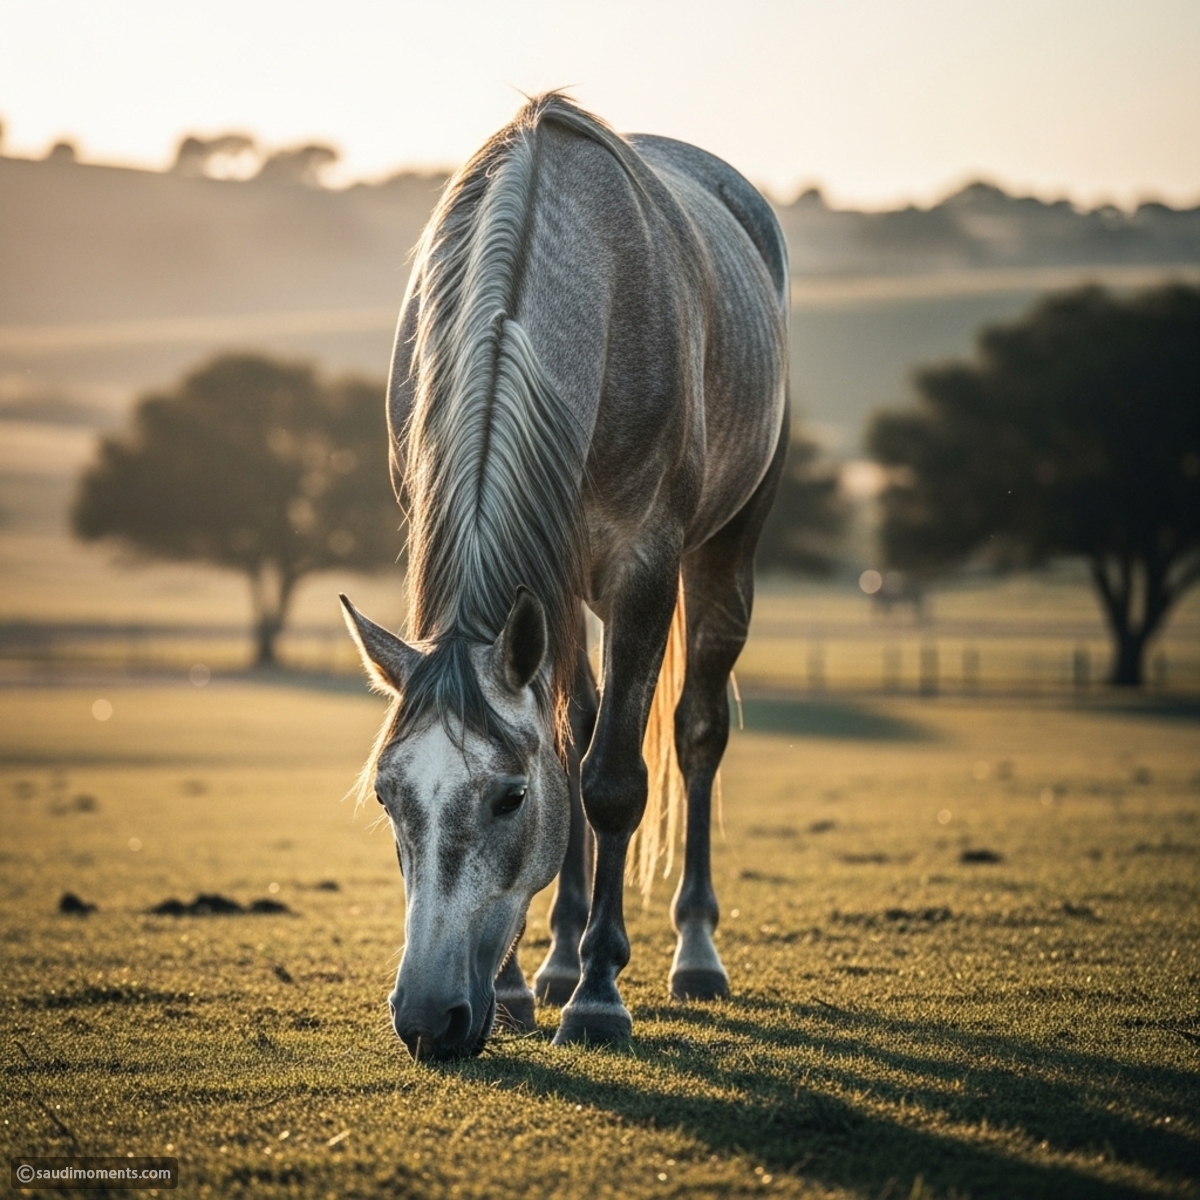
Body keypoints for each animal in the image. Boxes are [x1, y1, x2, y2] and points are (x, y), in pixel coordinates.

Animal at [341, 93, 789, 1061]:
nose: (428, 1019)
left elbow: (612, 780)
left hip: (726, 546)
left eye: (510, 801)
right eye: (390, 797)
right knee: (576, 722)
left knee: (694, 733)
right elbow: (568, 748)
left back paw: (690, 955)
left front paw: (598, 996)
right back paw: (551, 962)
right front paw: (521, 982)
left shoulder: (643, 564)